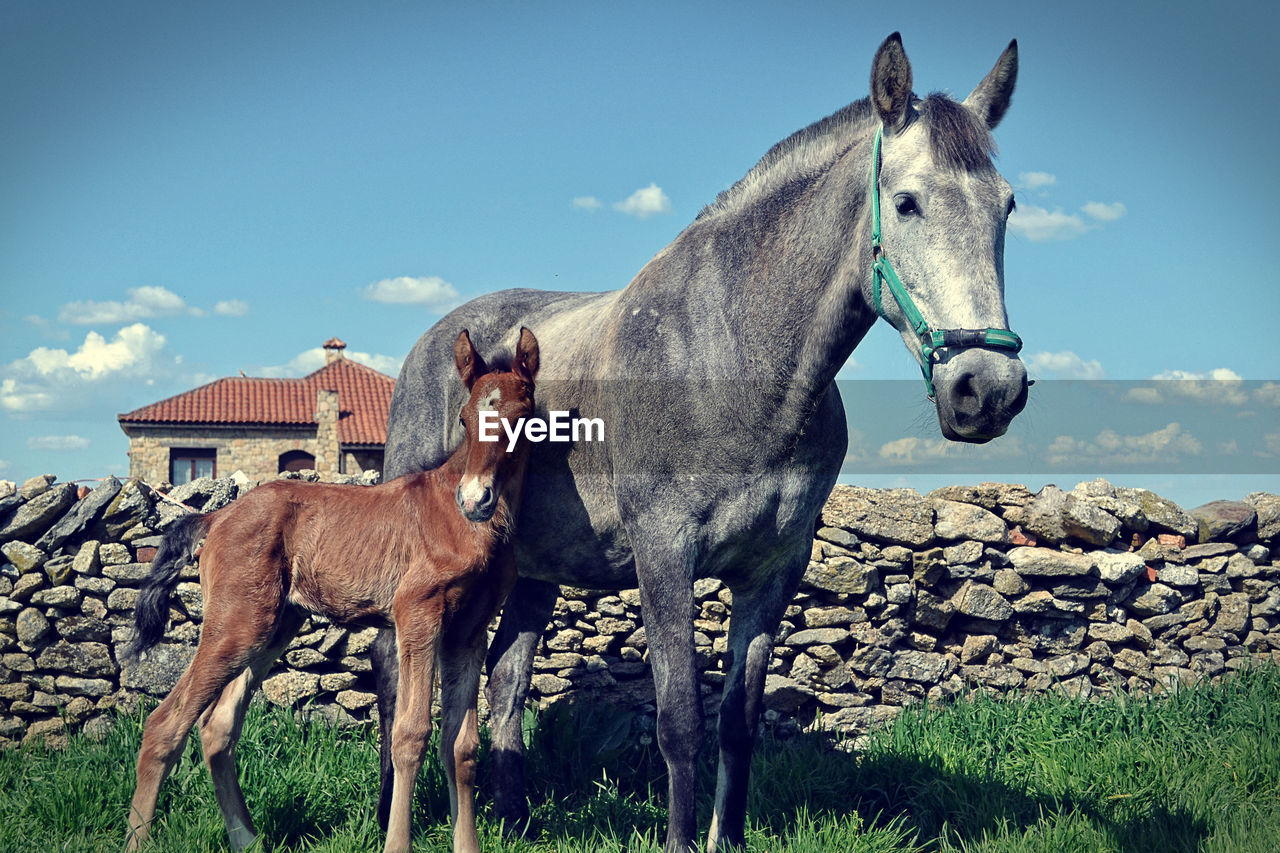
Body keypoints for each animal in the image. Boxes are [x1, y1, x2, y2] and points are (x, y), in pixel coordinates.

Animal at [122, 325, 537, 850]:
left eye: (523, 420)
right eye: (463, 419)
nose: (475, 498)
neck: (464, 524)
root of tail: (216, 518)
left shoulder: (469, 631)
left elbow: (460, 746)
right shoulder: (417, 614)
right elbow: (410, 734)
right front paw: (396, 843)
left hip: (273, 626)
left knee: (217, 726)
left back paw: (247, 838)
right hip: (235, 626)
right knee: (164, 725)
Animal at [368, 33, 1018, 850]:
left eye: (1007, 206)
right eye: (907, 203)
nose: (987, 388)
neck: (730, 356)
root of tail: (435, 344)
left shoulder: (773, 570)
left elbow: (738, 723)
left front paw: (724, 835)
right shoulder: (665, 554)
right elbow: (679, 722)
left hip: (535, 569)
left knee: (508, 678)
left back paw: (511, 818)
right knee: (393, 666)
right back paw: (389, 807)